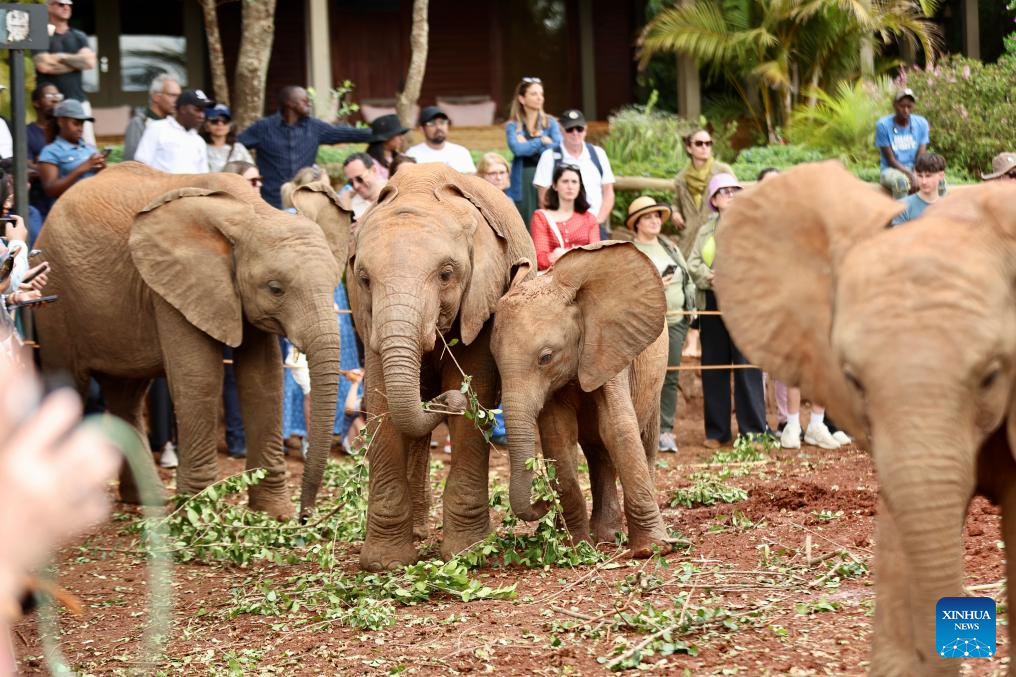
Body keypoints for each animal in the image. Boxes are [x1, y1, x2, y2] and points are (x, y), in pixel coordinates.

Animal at [35, 161, 352, 520]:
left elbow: (263, 380)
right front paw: (198, 516)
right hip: (53, 293)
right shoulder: (171, 286)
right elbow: (200, 377)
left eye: (334, 282)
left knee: (125, 395)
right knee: (67, 385)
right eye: (275, 289)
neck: (255, 212)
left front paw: (273, 514)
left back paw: (148, 499)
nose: (305, 516)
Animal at [348, 163, 536, 571]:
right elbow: (382, 404)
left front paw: (468, 552)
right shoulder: (367, 317)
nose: (446, 399)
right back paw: (418, 533)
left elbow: (475, 390)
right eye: (365, 280)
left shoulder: (483, 298)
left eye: (447, 274)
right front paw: (385, 563)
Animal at [489, 242, 672, 557]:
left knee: (643, 440)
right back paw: (604, 536)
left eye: (546, 357)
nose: (543, 502)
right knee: (598, 453)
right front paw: (574, 547)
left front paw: (651, 550)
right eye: (493, 358)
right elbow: (558, 435)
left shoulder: (609, 347)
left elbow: (618, 429)